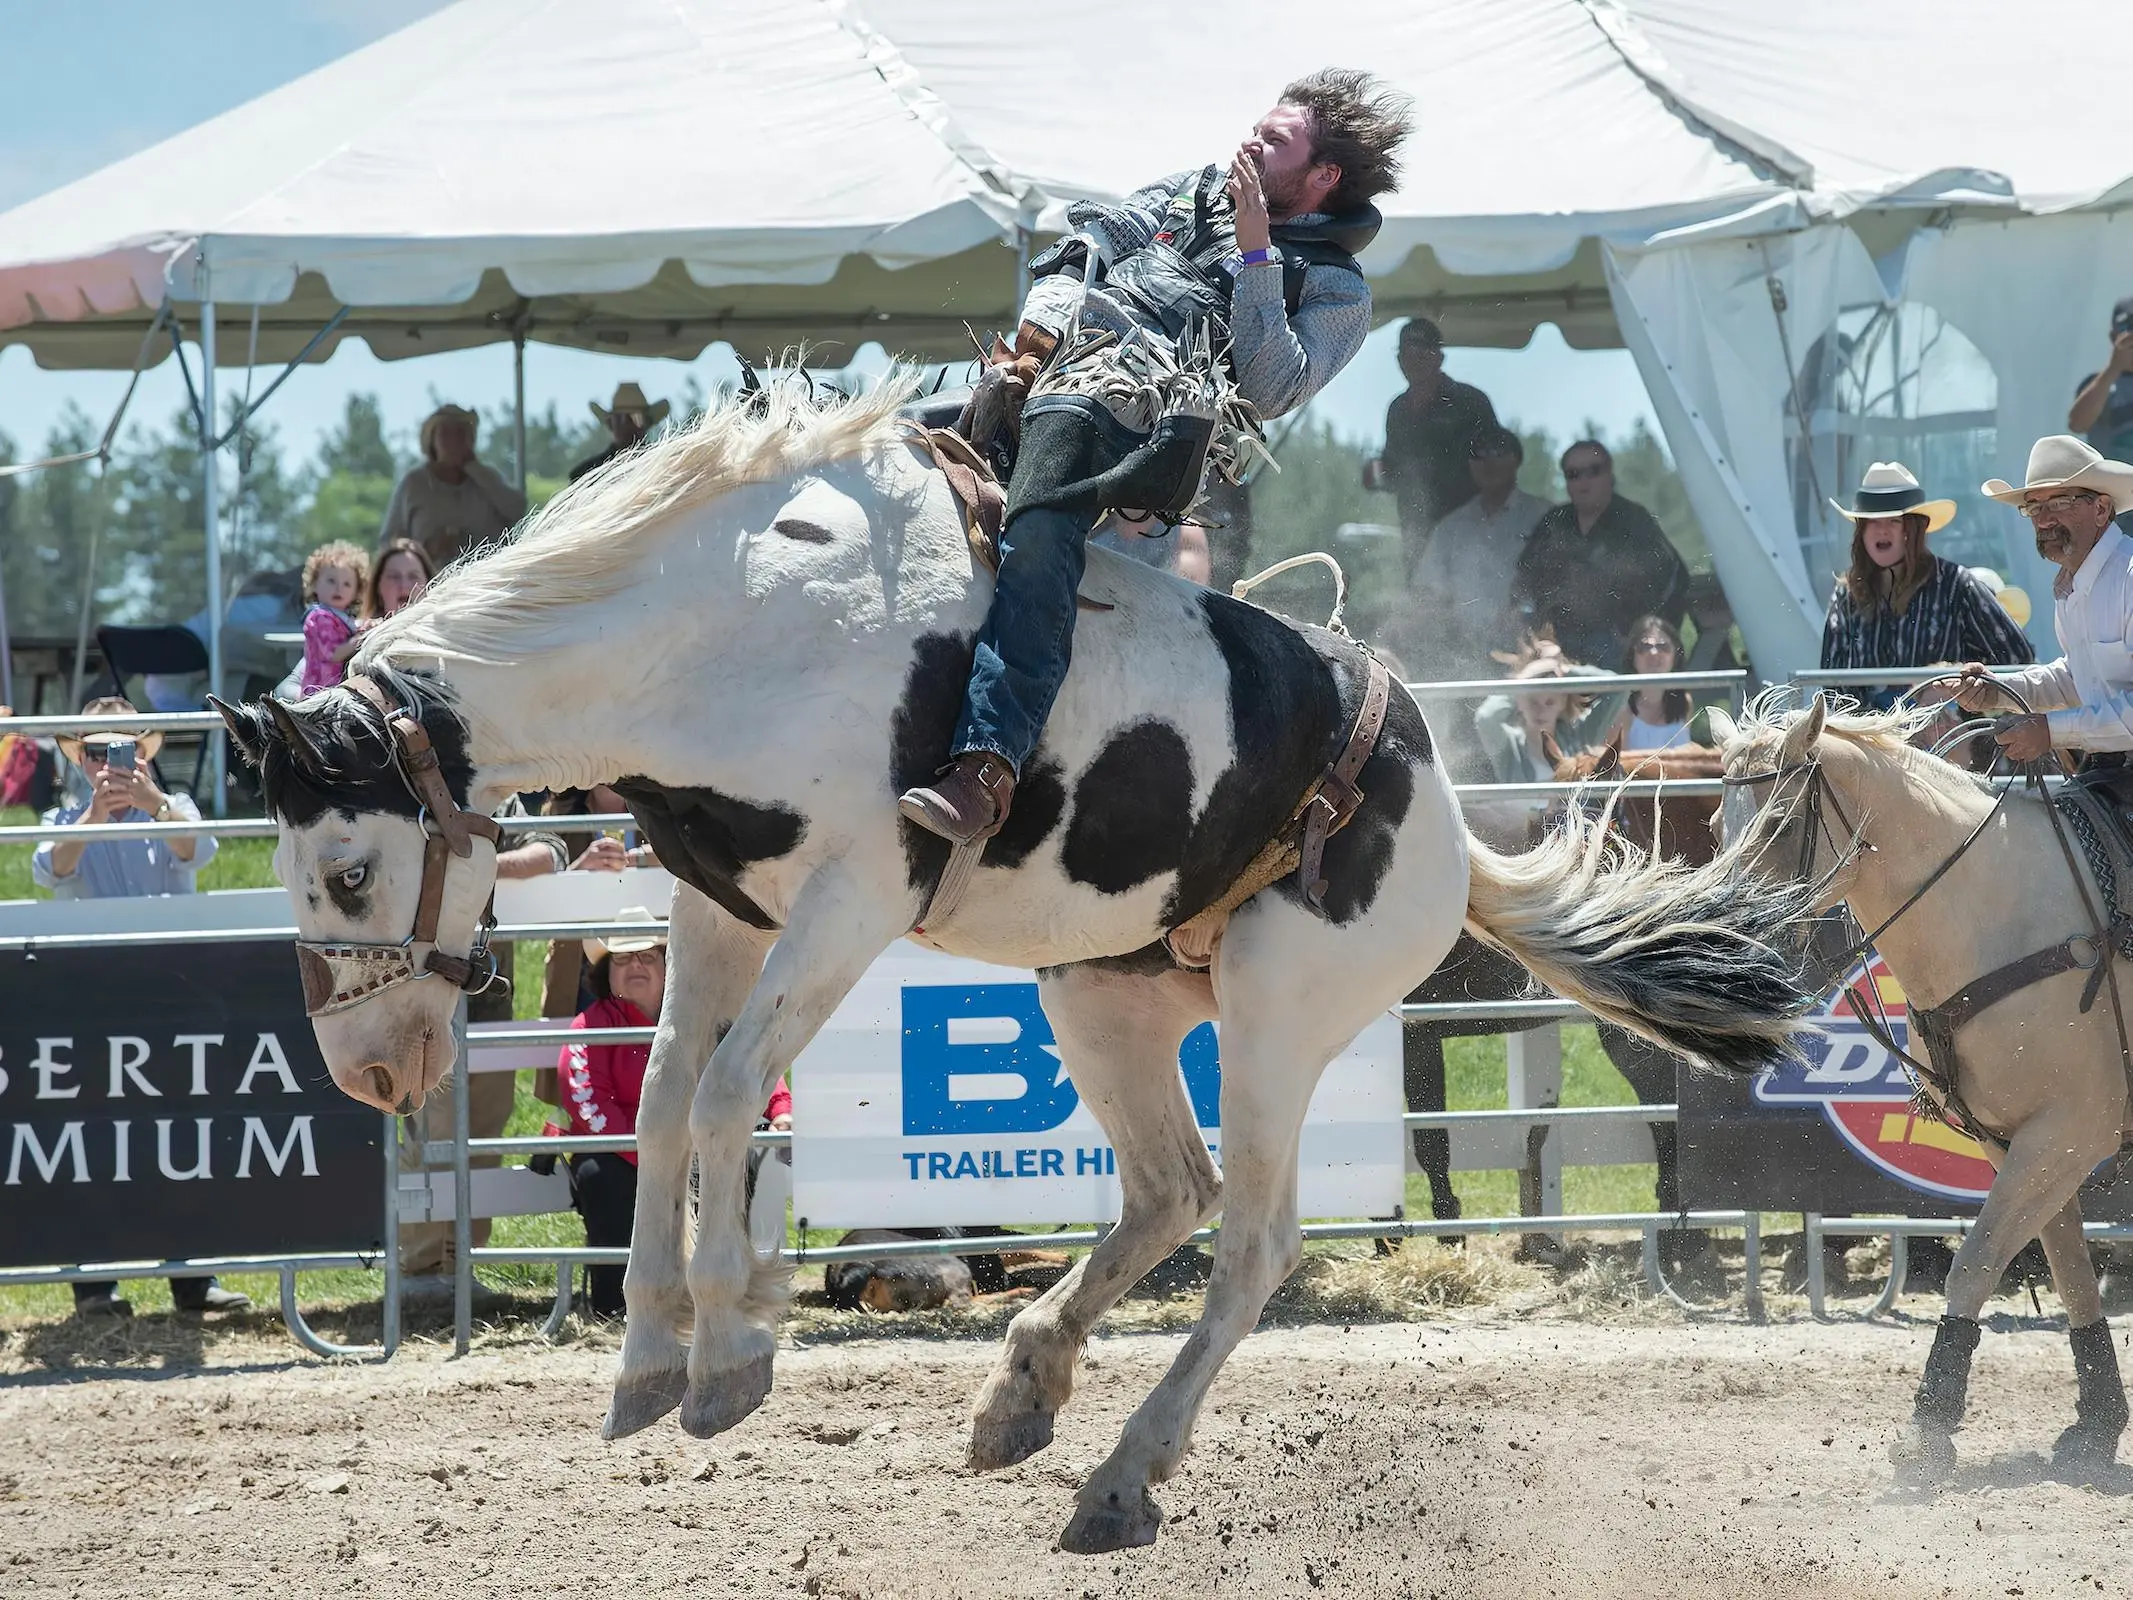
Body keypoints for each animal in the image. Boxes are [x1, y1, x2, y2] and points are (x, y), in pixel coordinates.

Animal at [212, 375, 1817, 1553]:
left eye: (347, 869)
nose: (372, 1069)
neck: (739, 621)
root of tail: (1440, 809)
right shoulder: (722, 904)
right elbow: (665, 1101)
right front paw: (650, 1357)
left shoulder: (856, 895)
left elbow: (729, 1098)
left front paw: (730, 1357)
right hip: (1106, 992)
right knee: (1169, 1191)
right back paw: (1023, 1390)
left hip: (1280, 1016)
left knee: (1255, 1239)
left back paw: (1123, 1473)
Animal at [1714, 695, 2133, 1484]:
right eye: (1717, 825)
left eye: (1780, 822)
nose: (1734, 948)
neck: (1995, 914)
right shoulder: (2020, 1140)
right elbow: (2068, 1269)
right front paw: (2096, 1424)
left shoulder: (2067, 1132)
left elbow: (1975, 1261)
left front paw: (1929, 1426)